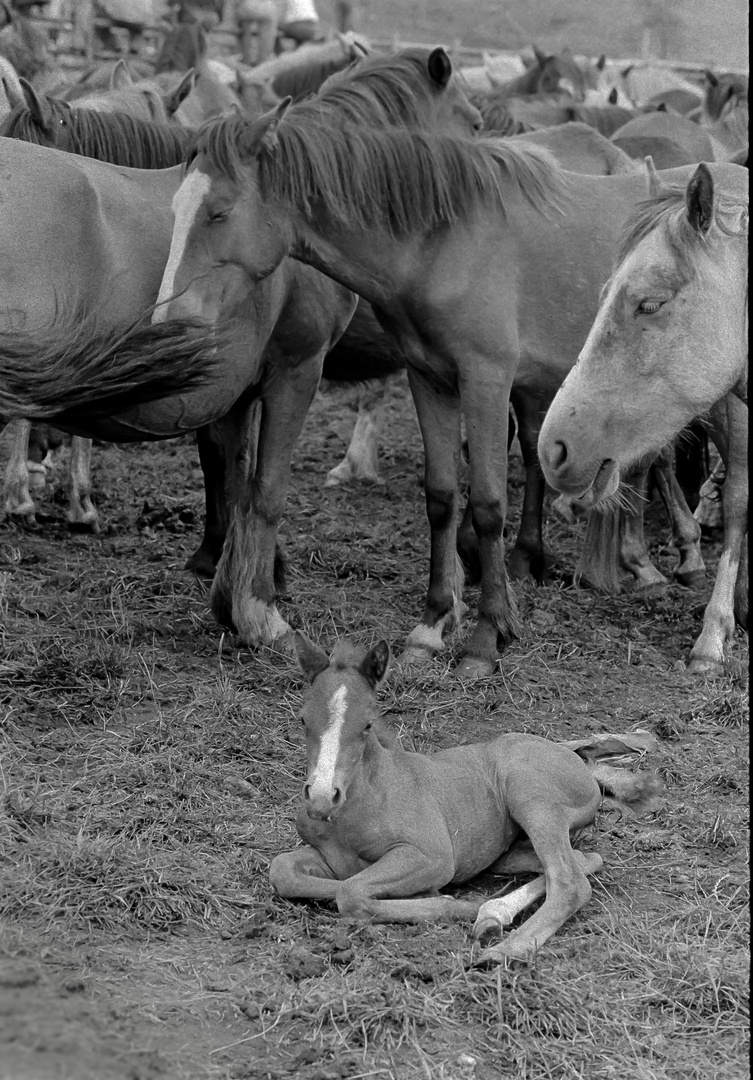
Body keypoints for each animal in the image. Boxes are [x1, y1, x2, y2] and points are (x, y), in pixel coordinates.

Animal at [269, 635, 656, 959]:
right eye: (302, 719)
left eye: (366, 724)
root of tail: (578, 761)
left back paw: (504, 949)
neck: (363, 798)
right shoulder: (330, 857)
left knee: (570, 881)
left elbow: (349, 892)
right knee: (582, 859)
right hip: (508, 851)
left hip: (530, 797)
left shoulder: (433, 856)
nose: (321, 797)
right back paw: (491, 916)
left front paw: (446, 902)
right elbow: (286, 872)